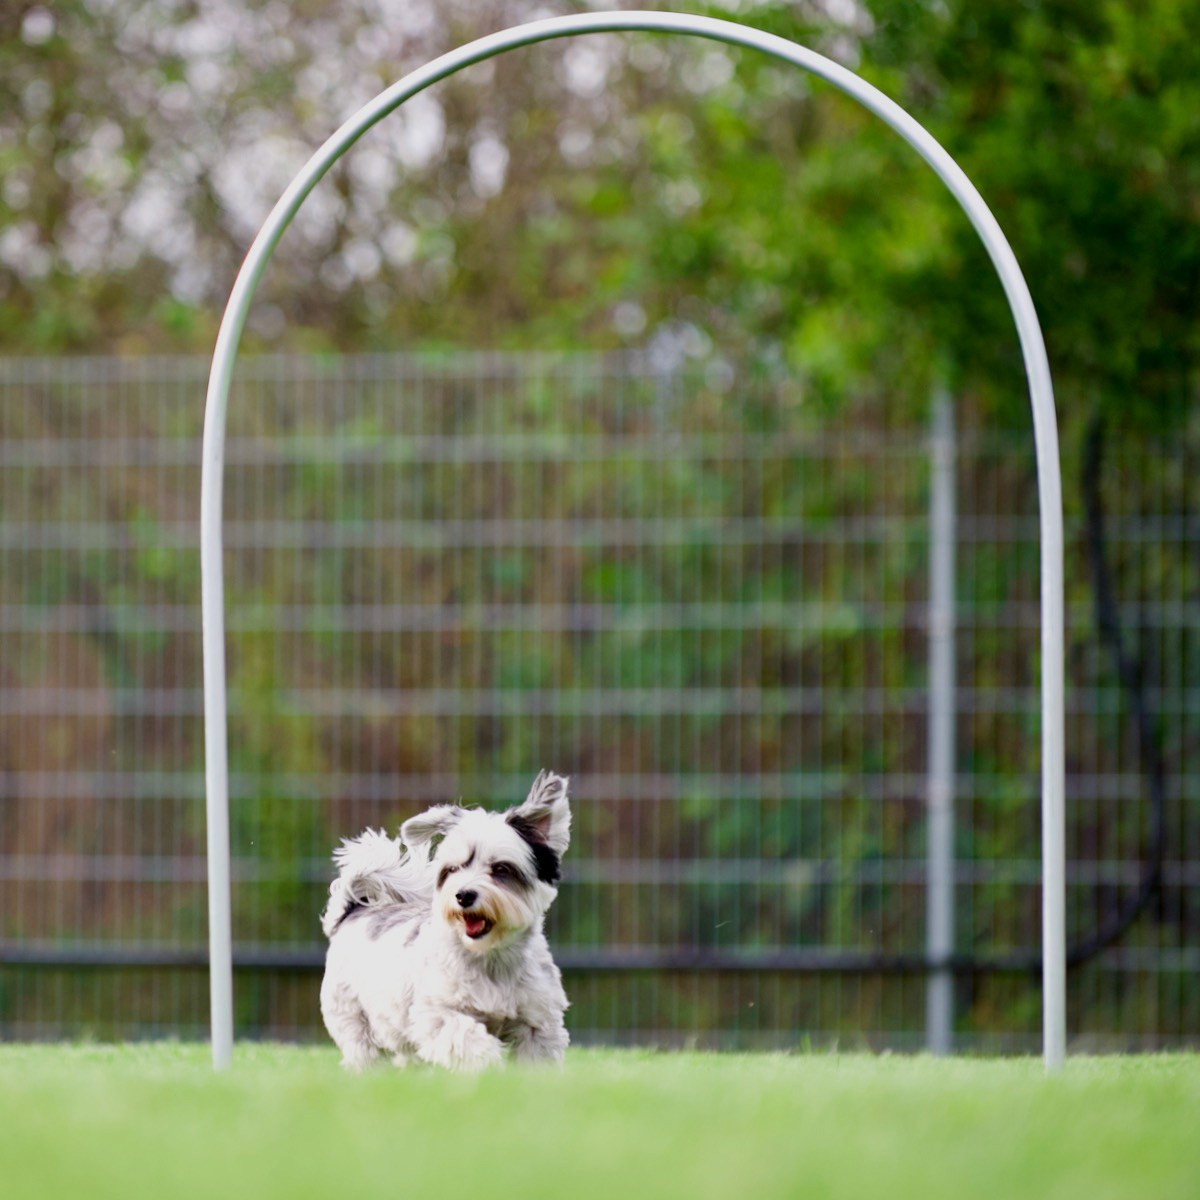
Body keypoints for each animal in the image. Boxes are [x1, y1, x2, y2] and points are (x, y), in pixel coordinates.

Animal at [319, 772, 571, 1075]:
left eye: (501, 869)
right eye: (453, 869)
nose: (463, 895)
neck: (489, 957)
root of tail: (353, 911)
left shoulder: (537, 1019)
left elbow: (537, 1054)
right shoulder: (436, 1012)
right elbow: (465, 1035)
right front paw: (488, 1065)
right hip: (353, 1016)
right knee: (363, 1049)